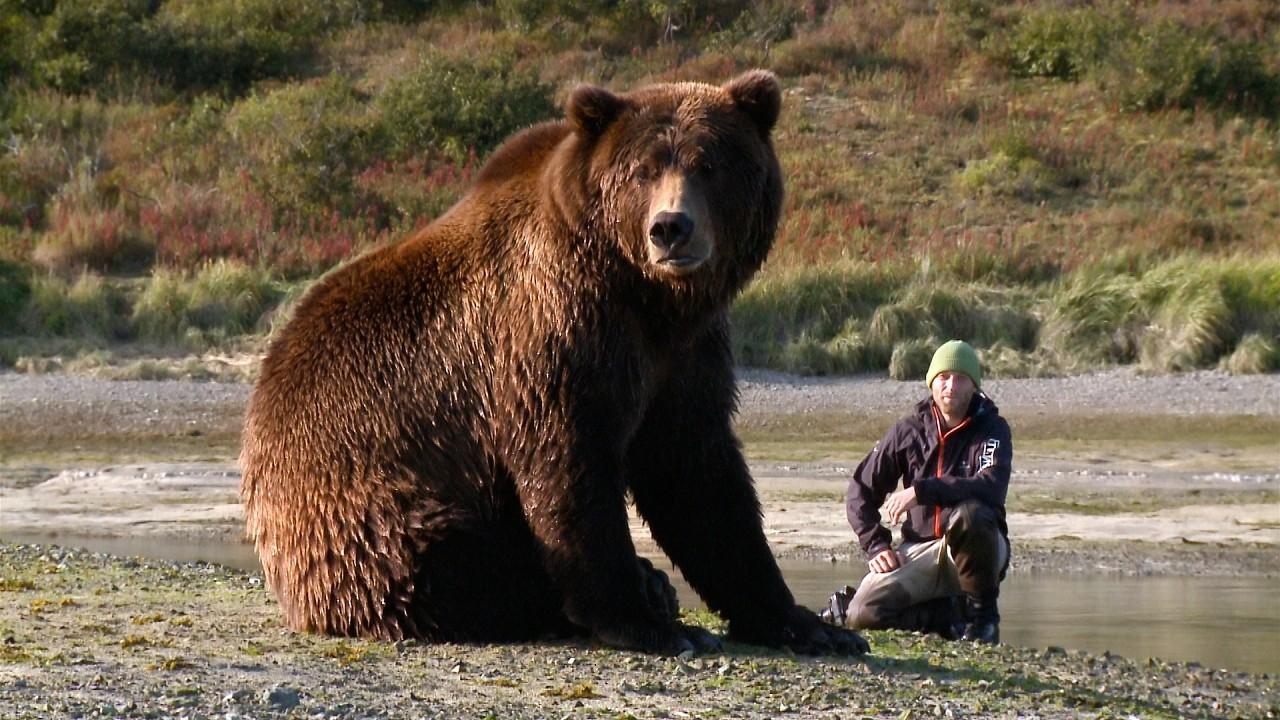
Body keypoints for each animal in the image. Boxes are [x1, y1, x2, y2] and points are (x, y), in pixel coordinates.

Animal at [240, 70, 870, 653]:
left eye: (708, 164)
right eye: (643, 171)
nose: (671, 228)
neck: (645, 294)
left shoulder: (685, 355)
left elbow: (700, 477)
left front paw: (807, 625)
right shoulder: (553, 329)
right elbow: (569, 462)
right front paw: (645, 623)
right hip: (364, 513)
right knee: (449, 564)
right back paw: (631, 593)